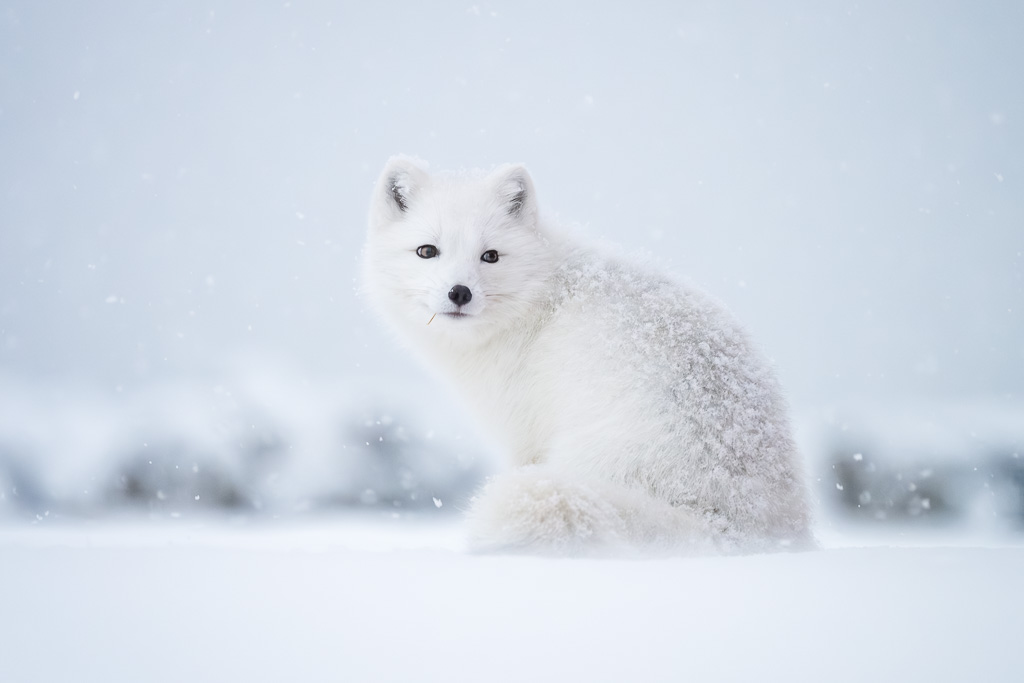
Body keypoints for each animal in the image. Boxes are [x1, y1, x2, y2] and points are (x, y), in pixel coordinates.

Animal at [362, 156, 812, 555]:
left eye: (490, 255)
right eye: (426, 251)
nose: (460, 292)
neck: (538, 299)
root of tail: (736, 527)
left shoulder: (521, 434)